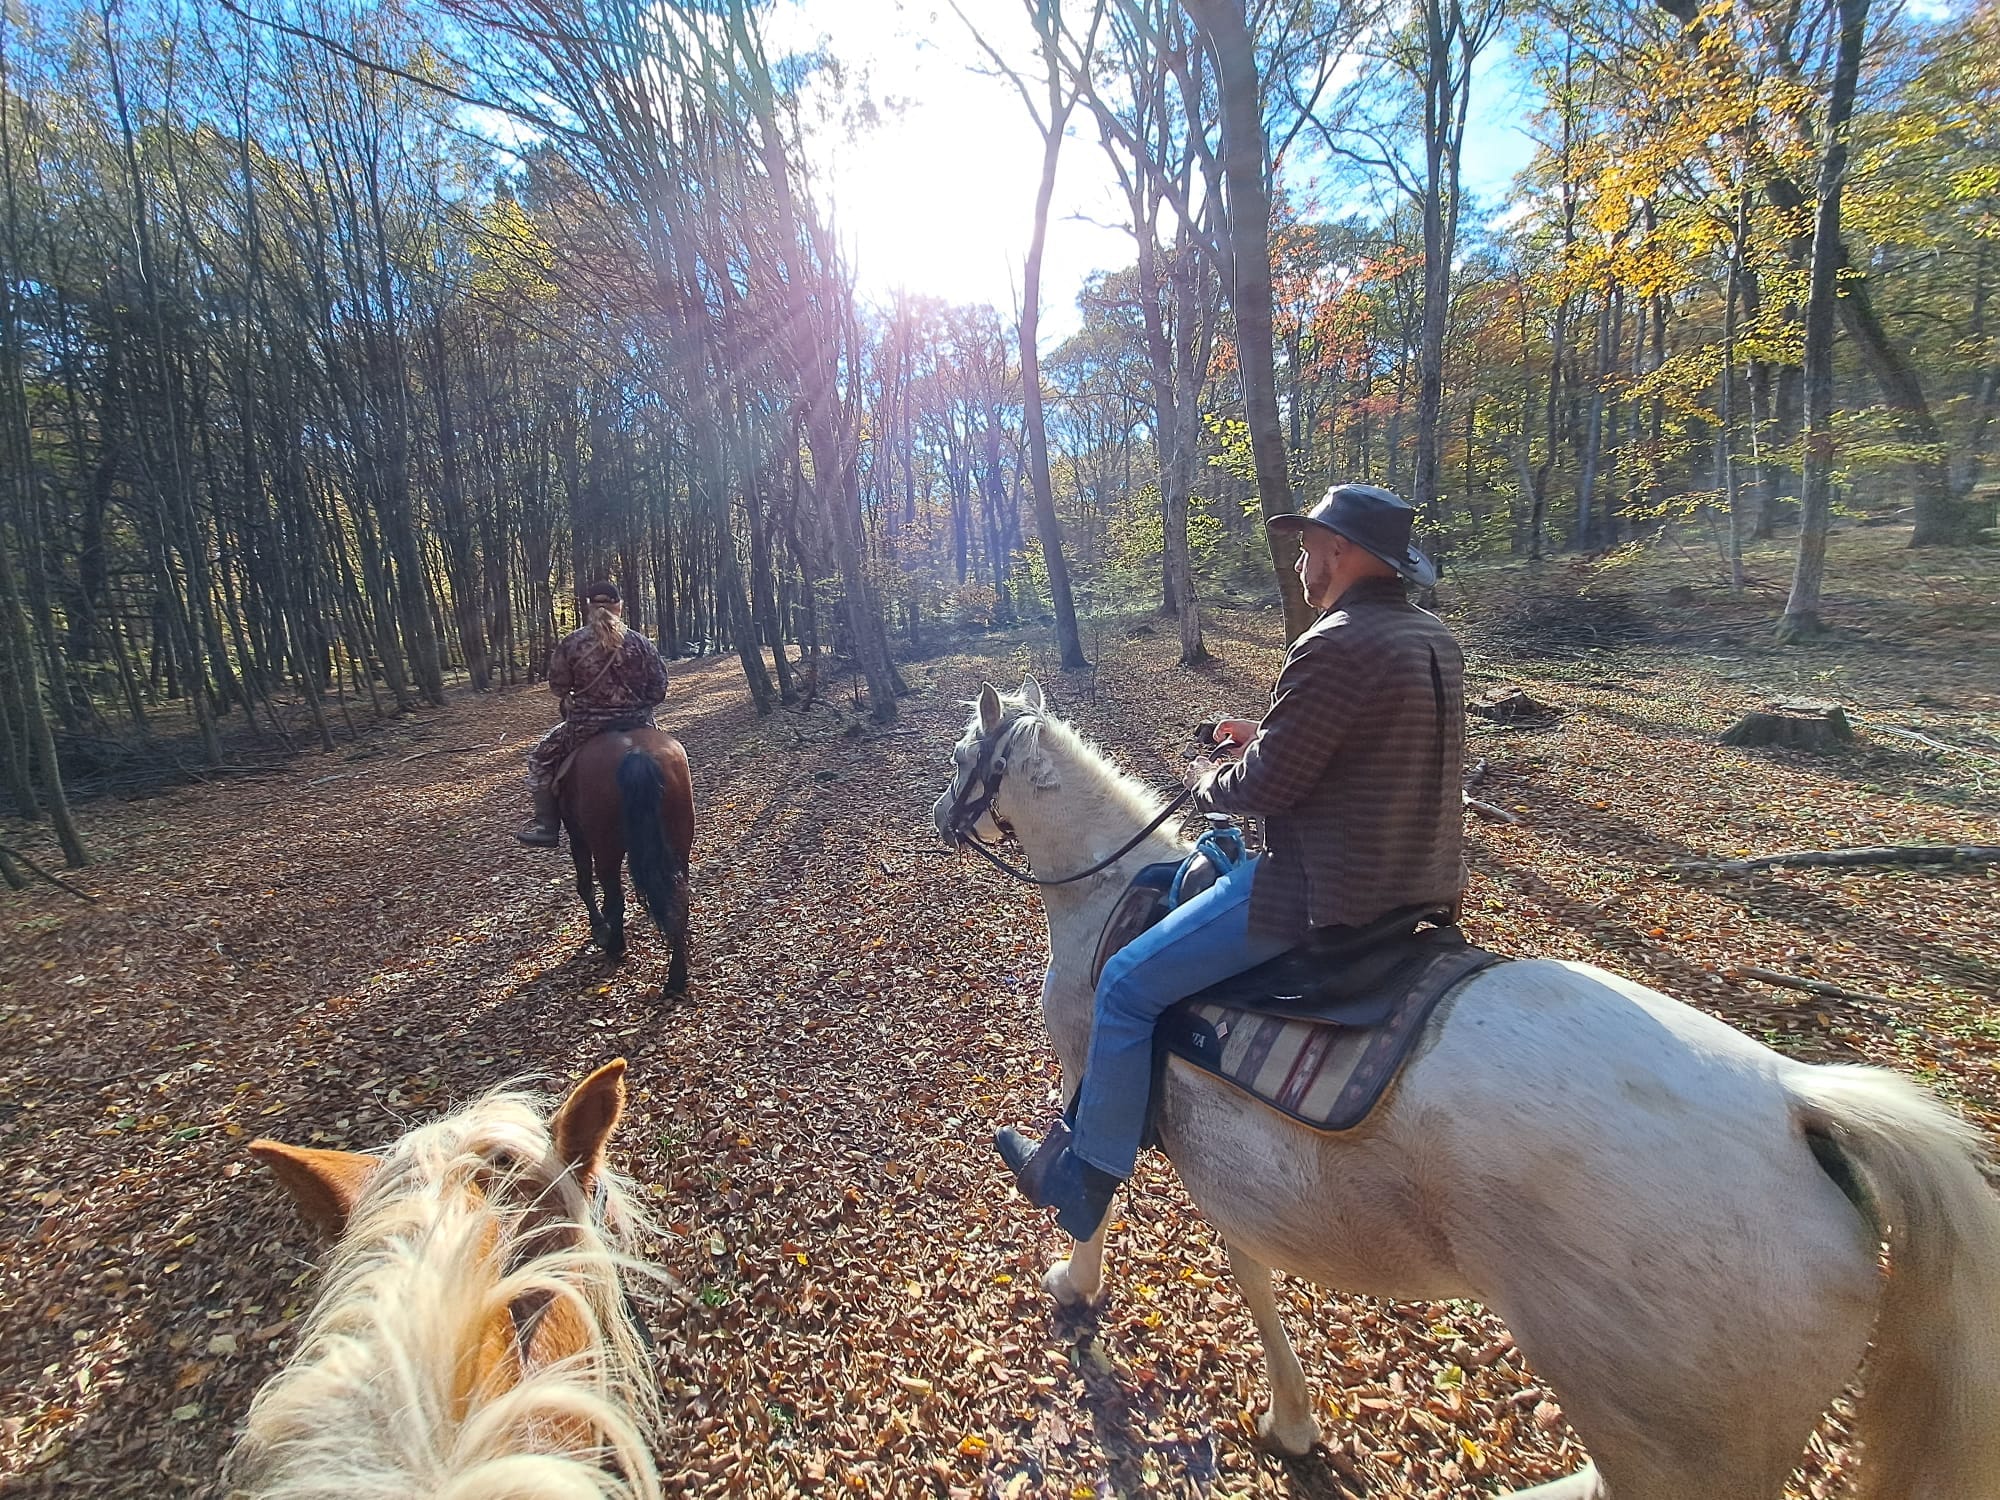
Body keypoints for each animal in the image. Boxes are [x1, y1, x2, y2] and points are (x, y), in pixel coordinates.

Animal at [560, 728, 692, 1000]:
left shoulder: (577, 834)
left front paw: (598, 928)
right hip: (679, 842)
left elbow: (585, 884)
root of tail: (636, 752)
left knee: (614, 898)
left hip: (605, 848)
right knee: (679, 900)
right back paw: (676, 978)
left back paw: (615, 946)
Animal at [928, 684, 2000, 1500]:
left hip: (1670, 1437)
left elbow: (1096, 1190)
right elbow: (1249, 1265)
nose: (938, 818)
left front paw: (1075, 1282)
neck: (1110, 893)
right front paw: (1292, 1418)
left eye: (962, 756)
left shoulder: (1093, 1064)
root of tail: (1799, 1109)